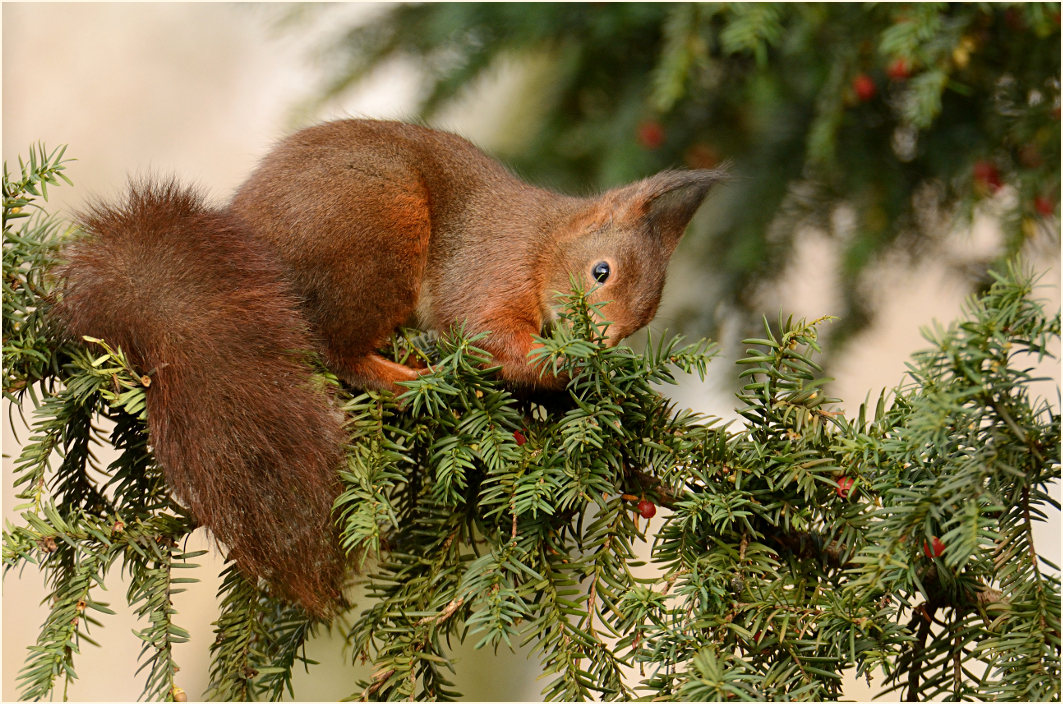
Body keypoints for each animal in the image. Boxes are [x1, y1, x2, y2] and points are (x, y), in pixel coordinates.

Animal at [53, 119, 725, 616]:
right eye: (600, 272)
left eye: (642, 322)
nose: (601, 344)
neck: (542, 243)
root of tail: (244, 242)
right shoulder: (487, 269)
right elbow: (486, 335)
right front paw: (570, 368)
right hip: (379, 228)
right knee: (336, 349)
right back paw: (410, 379)